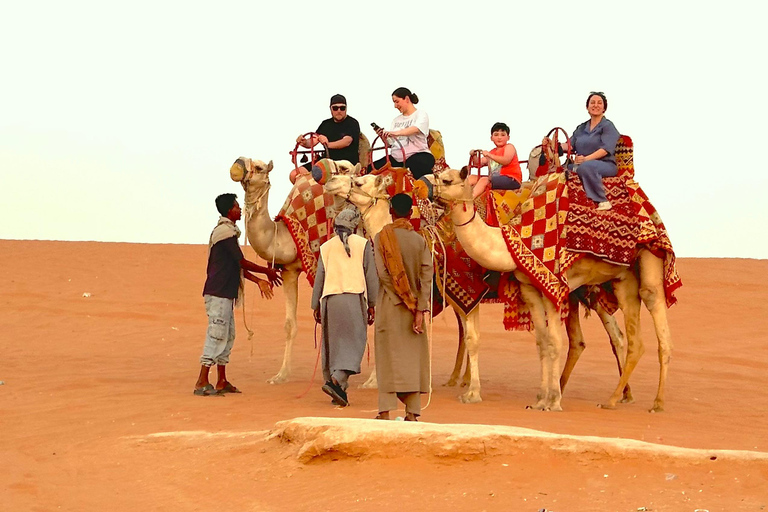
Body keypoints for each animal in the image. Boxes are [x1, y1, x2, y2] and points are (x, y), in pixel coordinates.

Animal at [324, 172, 630, 404]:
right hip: (576, 292)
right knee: (584, 339)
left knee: (616, 336)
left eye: (359, 181)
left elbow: (471, 339)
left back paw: (616, 395)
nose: (332, 181)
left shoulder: (463, 291)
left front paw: (472, 392)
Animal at [433, 167, 673, 412]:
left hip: (649, 258)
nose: (430, 189)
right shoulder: (529, 288)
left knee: (656, 321)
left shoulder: (552, 287)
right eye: (438, 174)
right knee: (631, 340)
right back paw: (613, 398)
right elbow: (541, 342)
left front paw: (553, 401)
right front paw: (539, 399)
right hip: (622, 279)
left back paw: (657, 403)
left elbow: (554, 342)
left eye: (447, 180)